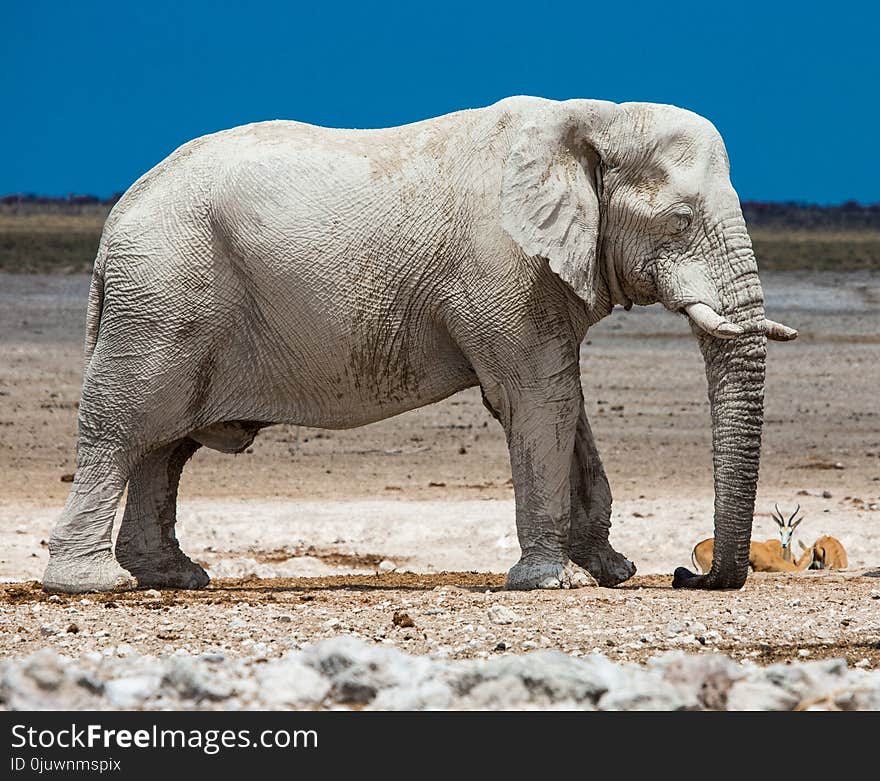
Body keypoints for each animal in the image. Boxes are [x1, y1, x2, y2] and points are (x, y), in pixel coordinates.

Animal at [41, 97, 796, 596]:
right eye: (682, 219)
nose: (688, 573)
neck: (594, 118)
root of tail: (115, 219)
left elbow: (566, 404)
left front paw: (611, 572)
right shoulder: (502, 267)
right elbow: (538, 400)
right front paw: (551, 583)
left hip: (169, 299)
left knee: (165, 445)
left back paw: (174, 577)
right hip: (163, 293)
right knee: (125, 427)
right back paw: (91, 585)